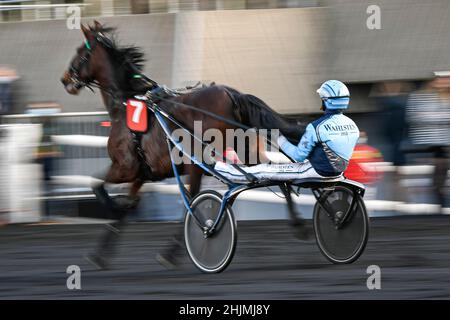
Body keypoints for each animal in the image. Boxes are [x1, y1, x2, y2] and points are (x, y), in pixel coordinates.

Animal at [60, 21, 310, 268]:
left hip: (198, 163)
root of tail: (231, 94)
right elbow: (126, 204)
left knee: (192, 204)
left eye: (80, 53)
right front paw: (99, 254)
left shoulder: (125, 168)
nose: (65, 79)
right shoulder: (141, 174)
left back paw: (179, 248)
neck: (124, 105)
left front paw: (112, 206)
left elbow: (96, 184)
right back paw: (298, 226)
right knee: (278, 179)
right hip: (245, 153)